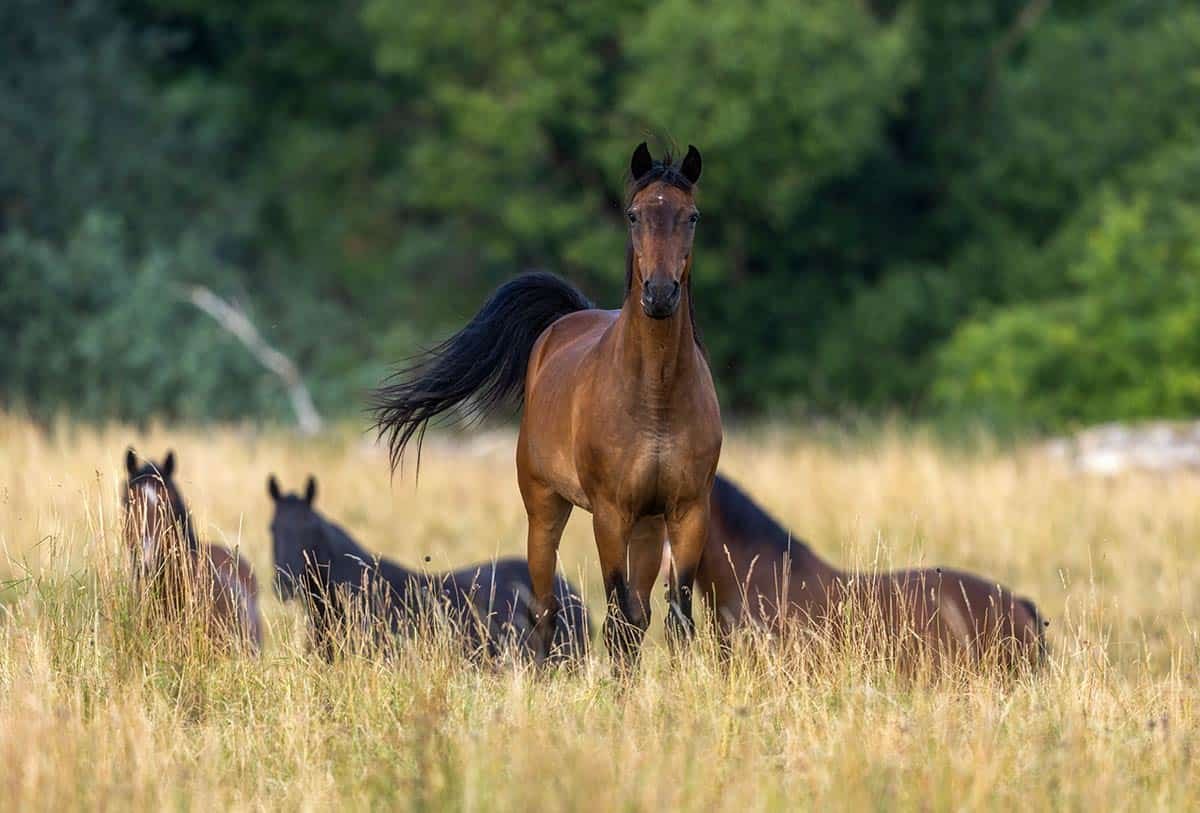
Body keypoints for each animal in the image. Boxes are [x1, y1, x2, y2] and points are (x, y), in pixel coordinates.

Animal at [369, 145, 715, 666]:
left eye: (691, 216)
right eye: (634, 214)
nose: (659, 294)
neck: (656, 398)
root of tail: (567, 320)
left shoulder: (688, 511)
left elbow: (673, 617)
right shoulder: (610, 515)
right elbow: (616, 615)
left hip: (649, 525)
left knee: (638, 613)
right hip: (544, 509)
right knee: (546, 608)